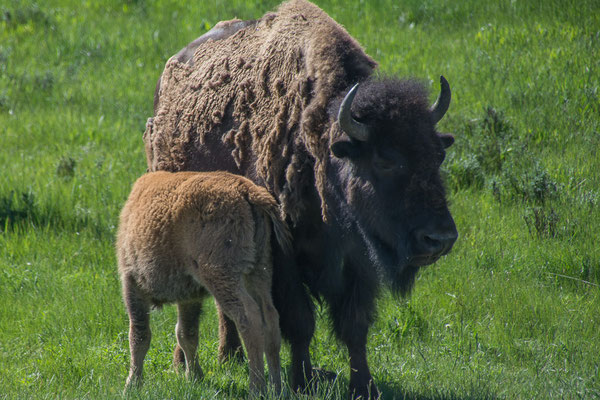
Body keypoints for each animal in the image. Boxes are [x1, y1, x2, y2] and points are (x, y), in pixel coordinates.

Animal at [116, 170, 290, 392]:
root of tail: (247, 190)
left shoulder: (132, 284)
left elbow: (139, 336)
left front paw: (132, 384)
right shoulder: (189, 297)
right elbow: (186, 334)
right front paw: (194, 377)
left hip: (222, 275)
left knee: (249, 319)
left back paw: (256, 387)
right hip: (258, 271)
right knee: (270, 318)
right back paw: (277, 386)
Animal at [145, 1, 460, 398]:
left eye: (438, 155)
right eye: (386, 159)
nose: (440, 238)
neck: (321, 146)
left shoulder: (357, 259)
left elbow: (354, 325)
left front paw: (364, 385)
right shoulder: (285, 258)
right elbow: (299, 322)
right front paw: (302, 380)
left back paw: (231, 357)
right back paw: (203, 361)